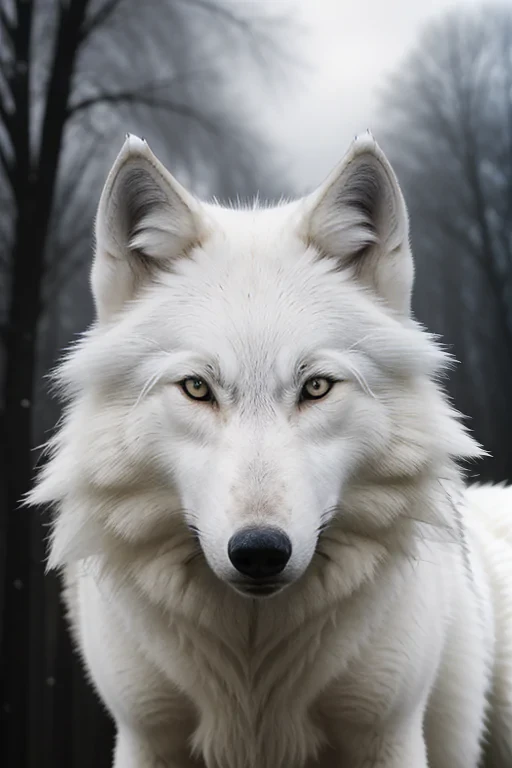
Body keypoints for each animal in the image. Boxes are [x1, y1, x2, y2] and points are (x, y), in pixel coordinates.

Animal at [30, 132, 512, 767]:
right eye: (197, 388)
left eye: (316, 387)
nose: (259, 551)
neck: (253, 664)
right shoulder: (146, 734)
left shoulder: (386, 732)